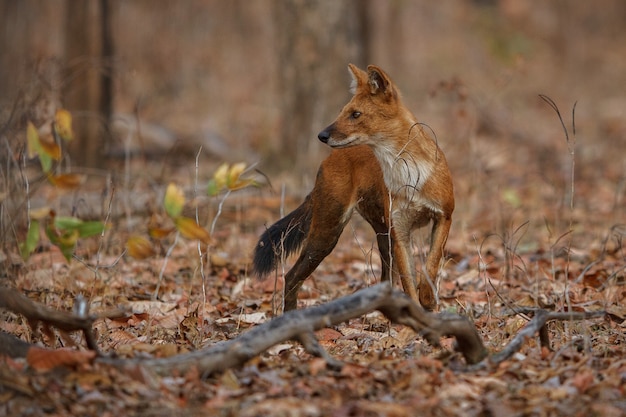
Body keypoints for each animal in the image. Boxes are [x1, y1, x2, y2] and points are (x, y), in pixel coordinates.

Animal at [251, 63, 450, 310]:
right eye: (342, 111)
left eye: (356, 114)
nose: (321, 135)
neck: (408, 175)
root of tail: (328, 159)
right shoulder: (401, 231)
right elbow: (409, 283)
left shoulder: (444, 216)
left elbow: (432, 262)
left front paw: (428, 298)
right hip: (328, 232)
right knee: (291, 276)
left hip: (381, 235)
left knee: (385, 278)